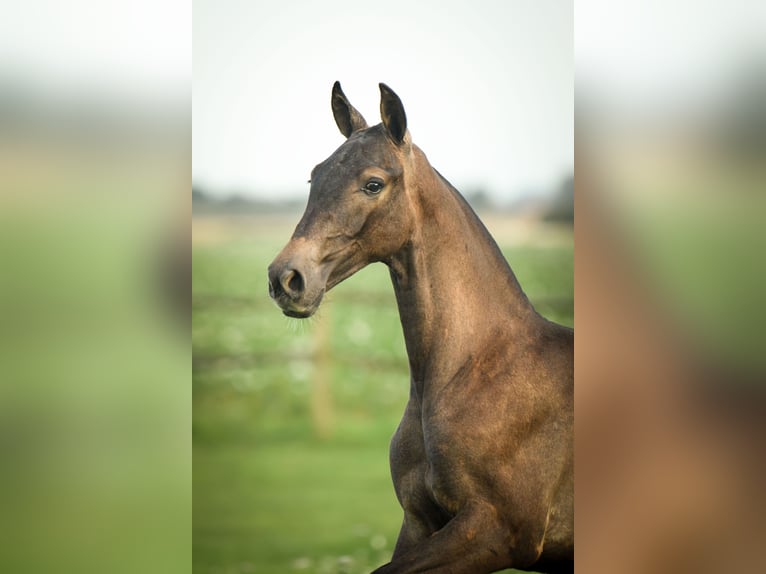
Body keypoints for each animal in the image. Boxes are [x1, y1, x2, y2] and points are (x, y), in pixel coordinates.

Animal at [268, 82, 572, 574]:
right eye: (315, 177)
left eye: (373, 183)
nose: (286, 278)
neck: (472, 369)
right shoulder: (417, 522)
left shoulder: (500, 530)